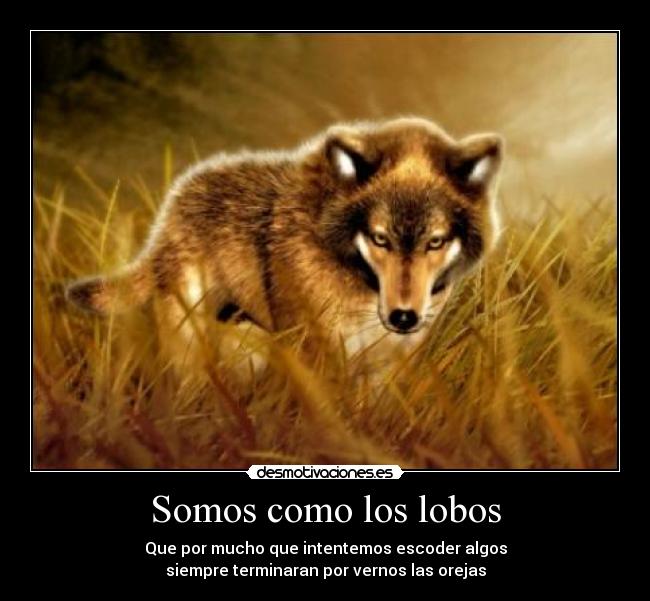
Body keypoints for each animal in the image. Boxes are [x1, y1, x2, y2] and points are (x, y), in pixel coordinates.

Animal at [67, 117, 504, 372]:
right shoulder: (316, 355)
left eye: (435, 241)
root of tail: (173, 204)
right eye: (380, 238)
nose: (404, 318)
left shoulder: (389, 367)